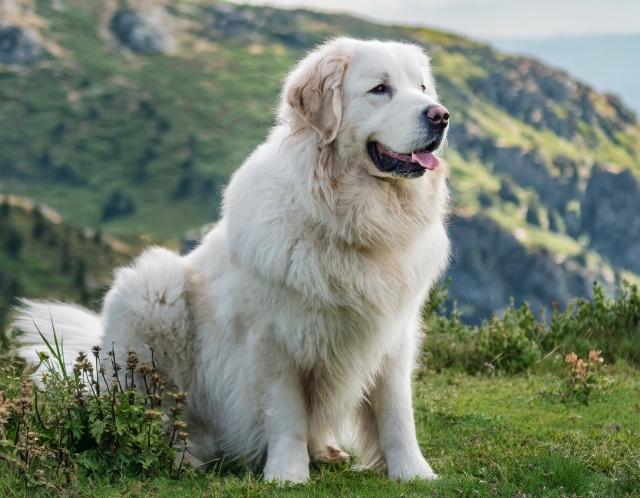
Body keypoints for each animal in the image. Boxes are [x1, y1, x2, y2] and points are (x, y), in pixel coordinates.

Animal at [13, 38, 450, 482]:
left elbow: (397, 415)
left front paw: (414, 473)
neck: (354, 223)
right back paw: (182, 457)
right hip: (152, 288)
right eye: (380, 89)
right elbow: (286, 416)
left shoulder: (393, 335)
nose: (441, 116)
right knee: (156, 416)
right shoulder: (274, 341)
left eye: (422, 88)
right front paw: (287, 475)